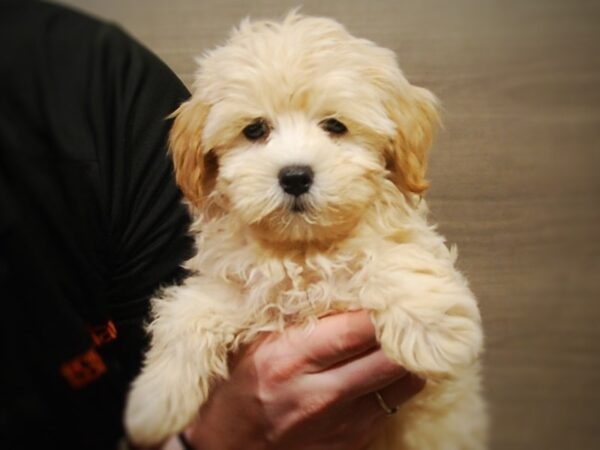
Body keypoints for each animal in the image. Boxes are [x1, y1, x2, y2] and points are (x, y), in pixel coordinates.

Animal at [125, 12, 488, 448]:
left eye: (335, 126)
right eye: (255, 130)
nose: (295, 176)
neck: (303, 253)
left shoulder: (395, 238)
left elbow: (394, 256)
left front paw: (434, 331)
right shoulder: (238, 289)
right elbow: (186, 312)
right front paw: (154, 402)